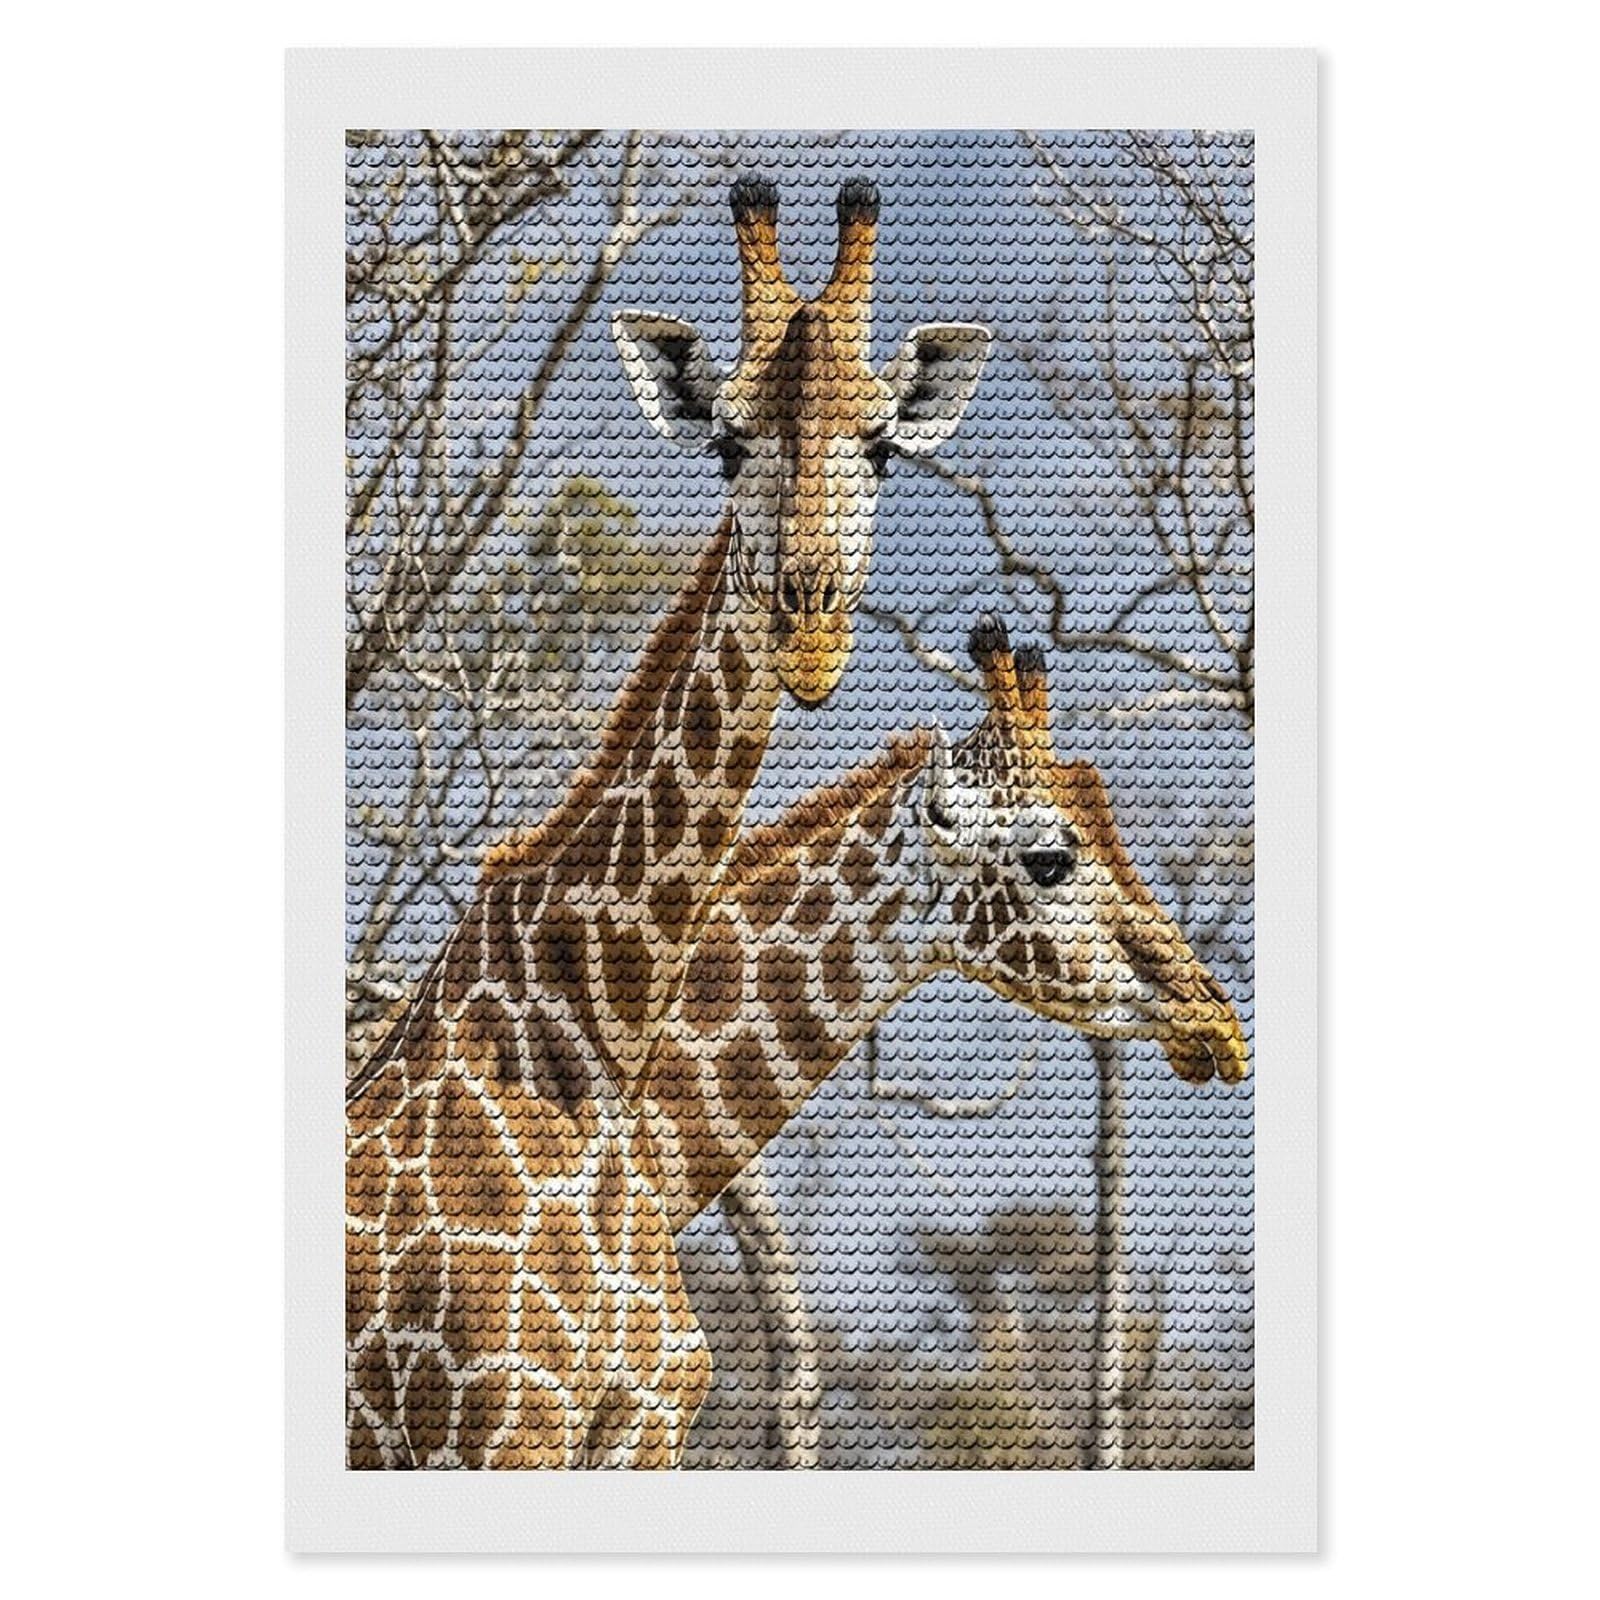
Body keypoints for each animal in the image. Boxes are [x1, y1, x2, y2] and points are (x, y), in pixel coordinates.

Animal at [345, 178, 993, 1469]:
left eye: (881, 447)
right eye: (728, 443)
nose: (809, 635)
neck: (598, 1021)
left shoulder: (634, 1431)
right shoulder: (492, 1427)